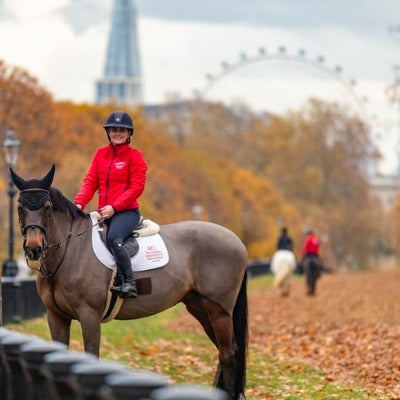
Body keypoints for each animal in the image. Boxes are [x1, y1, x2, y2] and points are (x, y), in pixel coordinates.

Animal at [10, 164, 248, 398]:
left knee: (228, 354)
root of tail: (236, 241)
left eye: (47, 207)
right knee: (224, 351)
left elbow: (92, 354)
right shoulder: (56, 317)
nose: (33, 248)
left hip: (219, 311)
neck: (71, 250)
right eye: (20, 207)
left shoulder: (89, 316)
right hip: (201, 308)